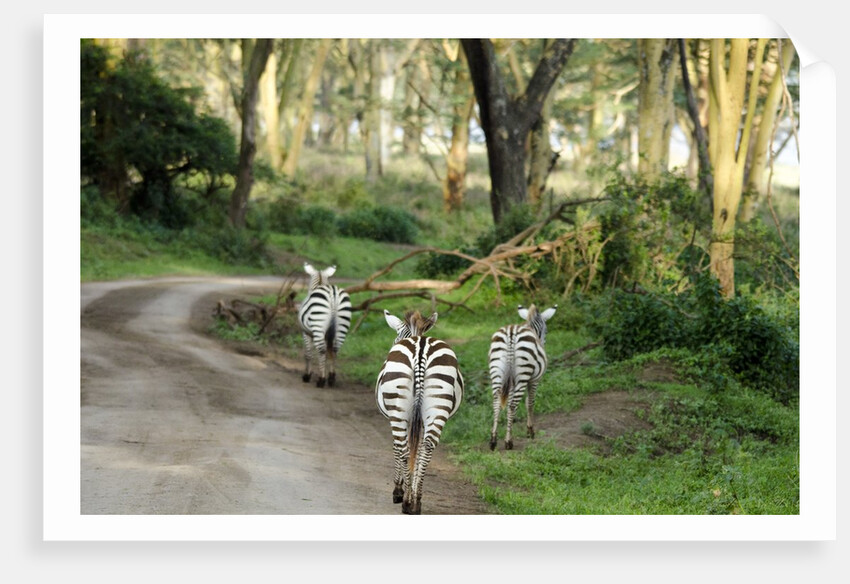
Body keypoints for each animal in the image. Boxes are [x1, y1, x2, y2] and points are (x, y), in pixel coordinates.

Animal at [375, 309, 464, 514]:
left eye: (395, 339)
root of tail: (420, 348)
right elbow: (419, 445)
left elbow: (398, 448)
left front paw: (398, 489)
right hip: (438, 405)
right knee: (427, 447)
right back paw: (416, 501)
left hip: (398, 408)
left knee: (404, 448)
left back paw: (407, 501)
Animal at [488, 303, 556, 451]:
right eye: (547, 331)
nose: (542, 344)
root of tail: (511, 333)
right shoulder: (534, 380)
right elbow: (530, 402)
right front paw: (530, 431)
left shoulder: (511, 381)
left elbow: (508, 403)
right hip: (523, 376)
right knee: (513, 405)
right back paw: (508, 442)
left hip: (496, 373)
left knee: (496, 403)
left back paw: (493, 441)